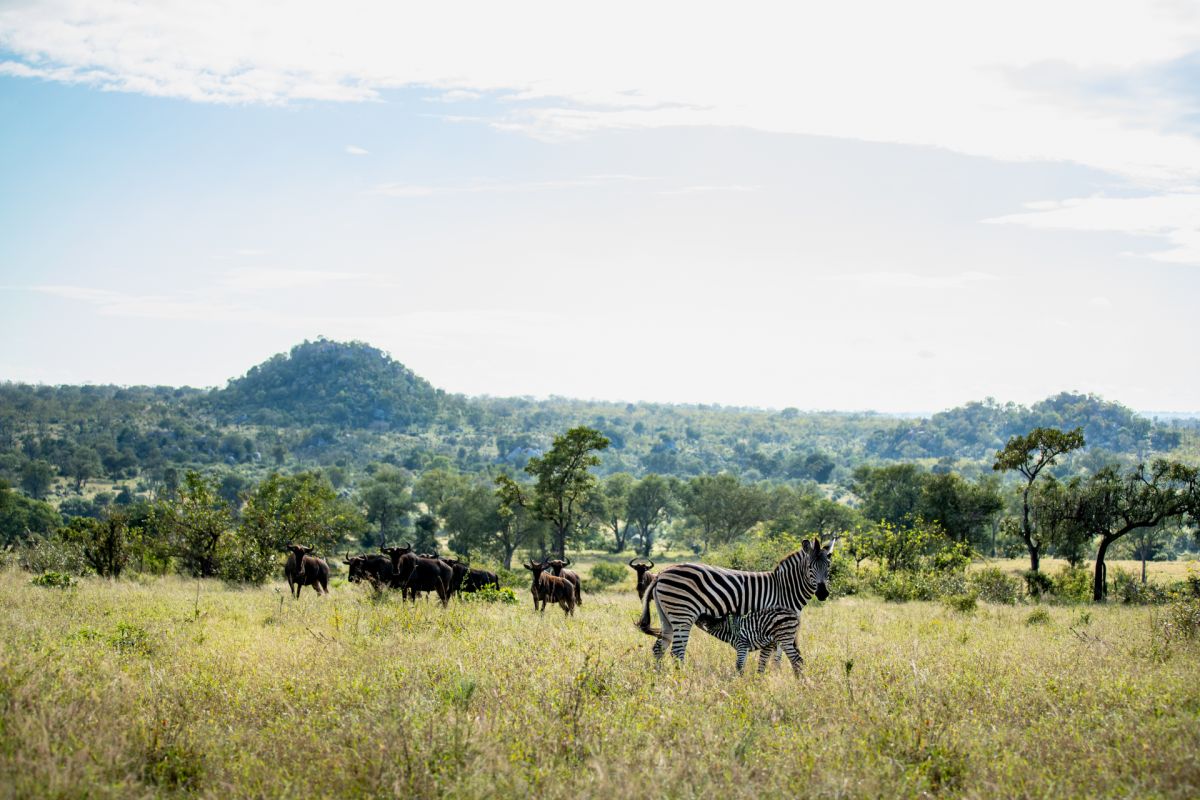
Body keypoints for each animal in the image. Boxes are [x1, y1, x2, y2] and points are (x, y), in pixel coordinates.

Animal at [637, 536, 832, 666]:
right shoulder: (777, 623)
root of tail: (661, 573)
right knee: (677, 651)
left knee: (659, 648)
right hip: (682, 614)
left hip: (667, 616)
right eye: (810, 567)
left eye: (829, 567)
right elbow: (775, 656)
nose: (823, 594)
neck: (784, 588)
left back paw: (660, 678)